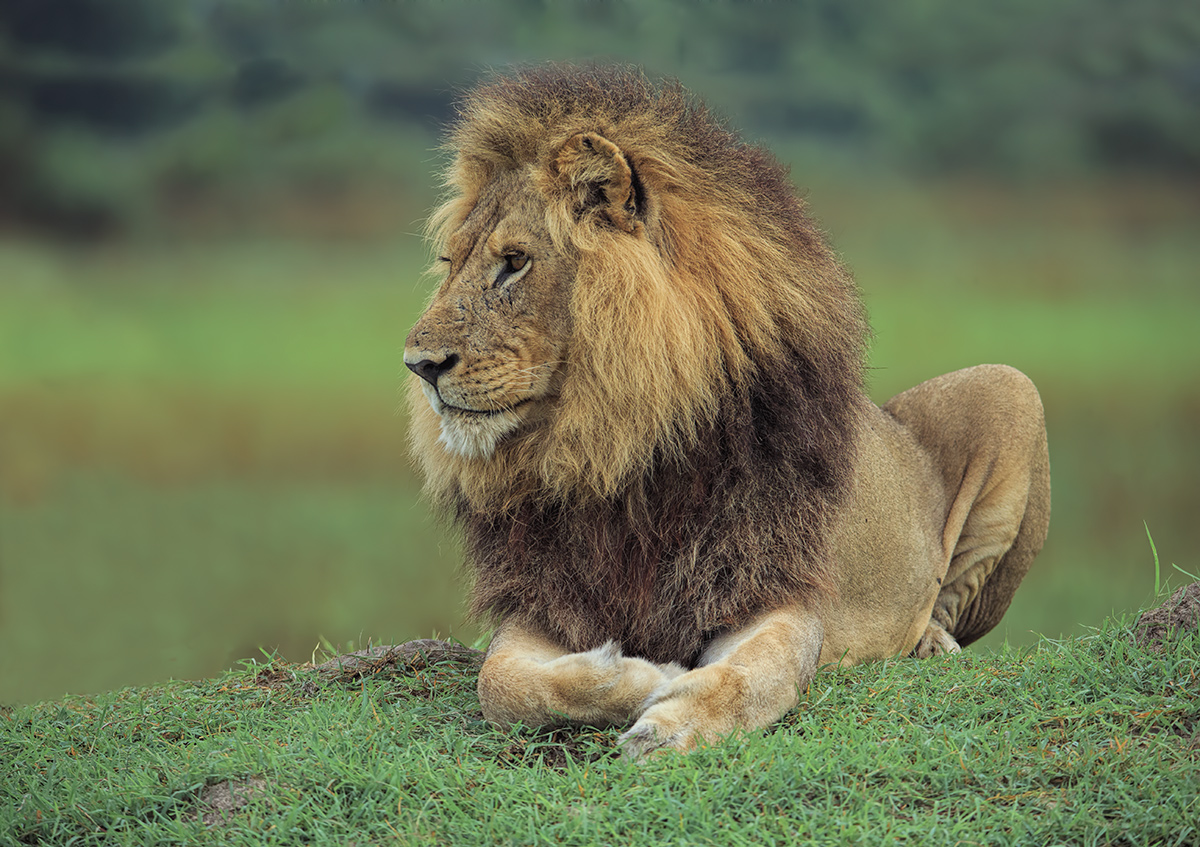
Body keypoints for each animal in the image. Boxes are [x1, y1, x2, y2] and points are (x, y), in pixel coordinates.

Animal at [403, 65, 1050, 759]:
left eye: (515, 262)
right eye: (451, 264)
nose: (418, 365)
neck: (617, 452)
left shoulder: (772, 590)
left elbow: (758, 672)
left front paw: (674, 721)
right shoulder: (548, 603)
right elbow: (503, 686)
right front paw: (643, 675)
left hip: (1012, 386)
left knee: (949, 598)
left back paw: (930, 641)